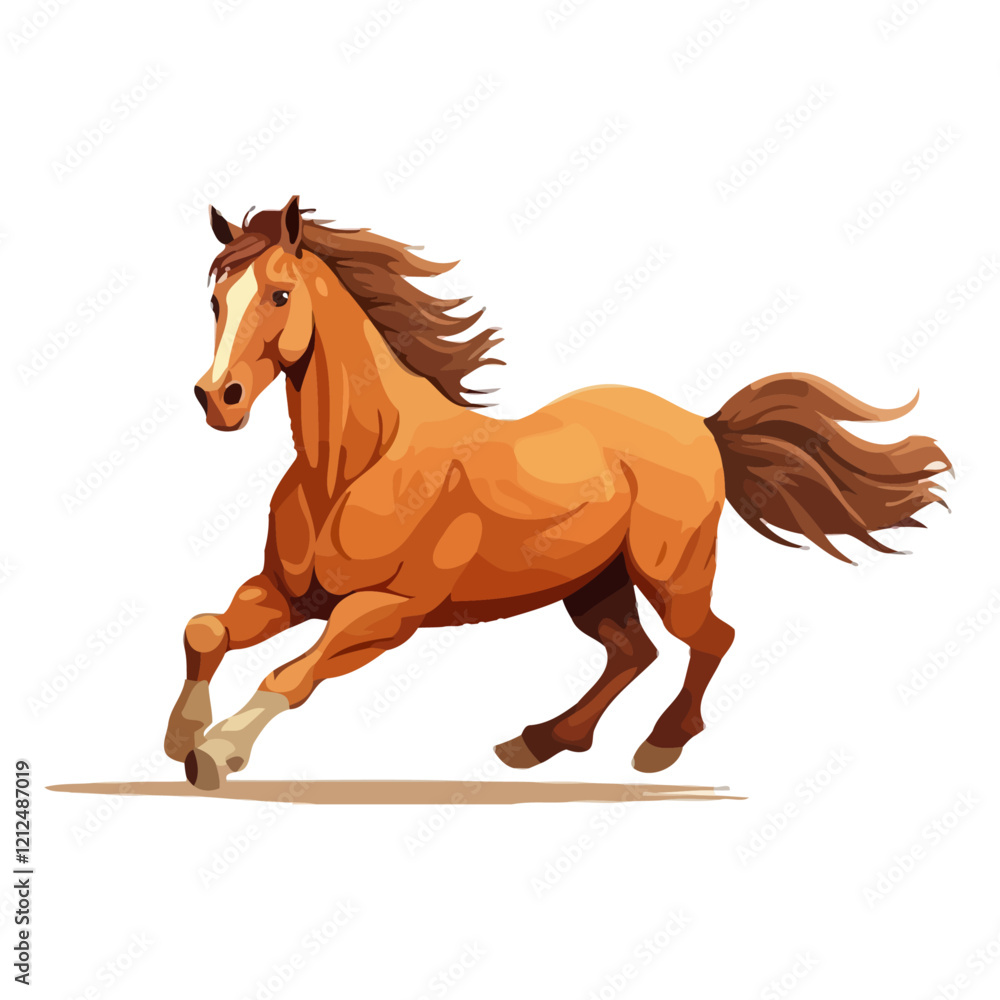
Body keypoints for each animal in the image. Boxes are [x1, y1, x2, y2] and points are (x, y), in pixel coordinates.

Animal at [164, 196, 951, 790]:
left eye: (280, 294)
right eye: (215, 300)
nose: (217, 399)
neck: (356, 466)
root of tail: (701, 424)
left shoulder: (388, 611)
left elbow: (292, 673)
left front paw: (218, 752)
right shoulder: (290, 592)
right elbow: (205, 629)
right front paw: (181, 736)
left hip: (670, 574)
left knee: (710, 638)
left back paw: (660, 746)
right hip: (593, 583)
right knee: (633, 652)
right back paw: (539, 742)